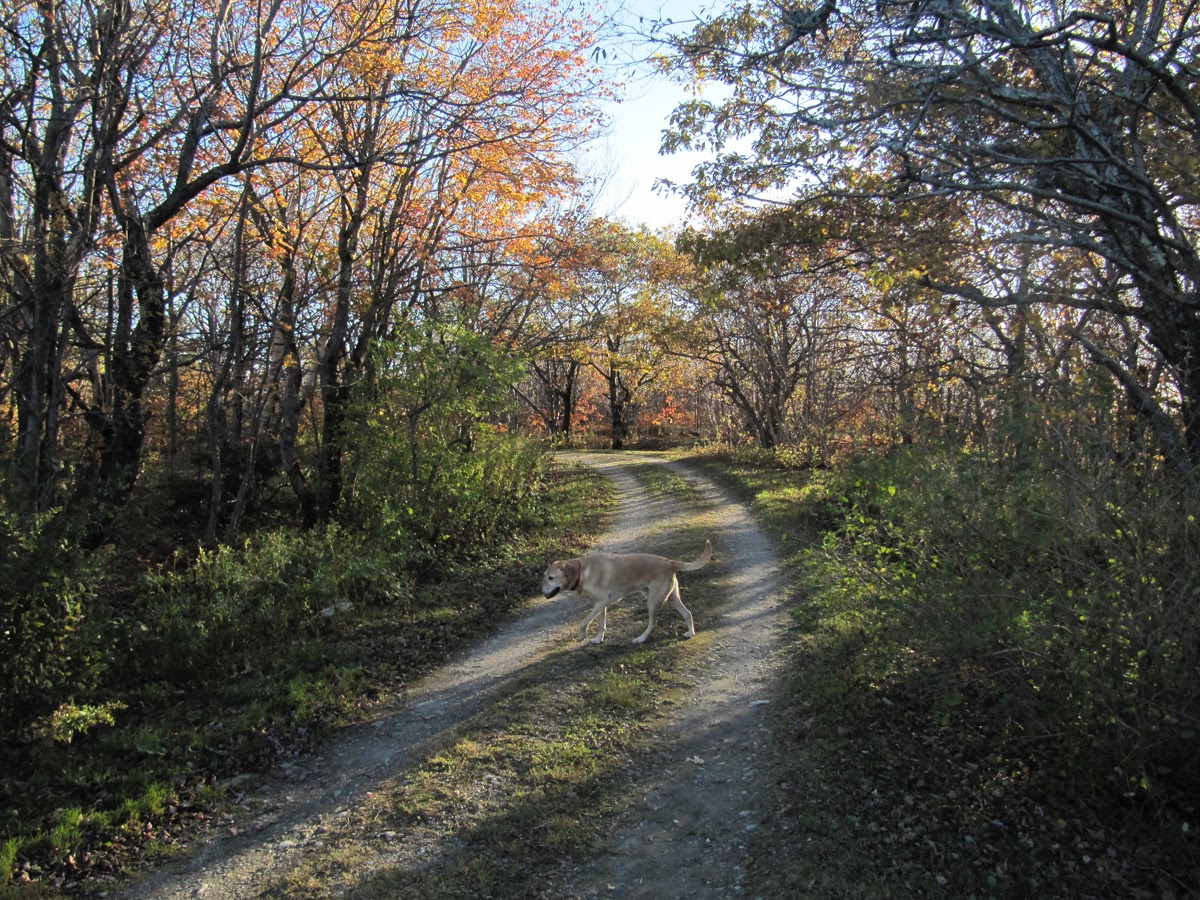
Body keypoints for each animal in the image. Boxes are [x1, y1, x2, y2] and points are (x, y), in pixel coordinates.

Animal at [542, 540, 710, 643]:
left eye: (550, 578)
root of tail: (670, 562)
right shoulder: (601, 605)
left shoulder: (601, 602)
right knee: (687, 613)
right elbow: (601, 624)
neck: (582, 570)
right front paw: (598, 639)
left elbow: (584, 621)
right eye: (544, 576)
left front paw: (582, 635)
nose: (540, 589)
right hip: (671, 598)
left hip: (653, 602)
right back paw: (690, 633)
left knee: (653, 623)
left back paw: (640, 639)